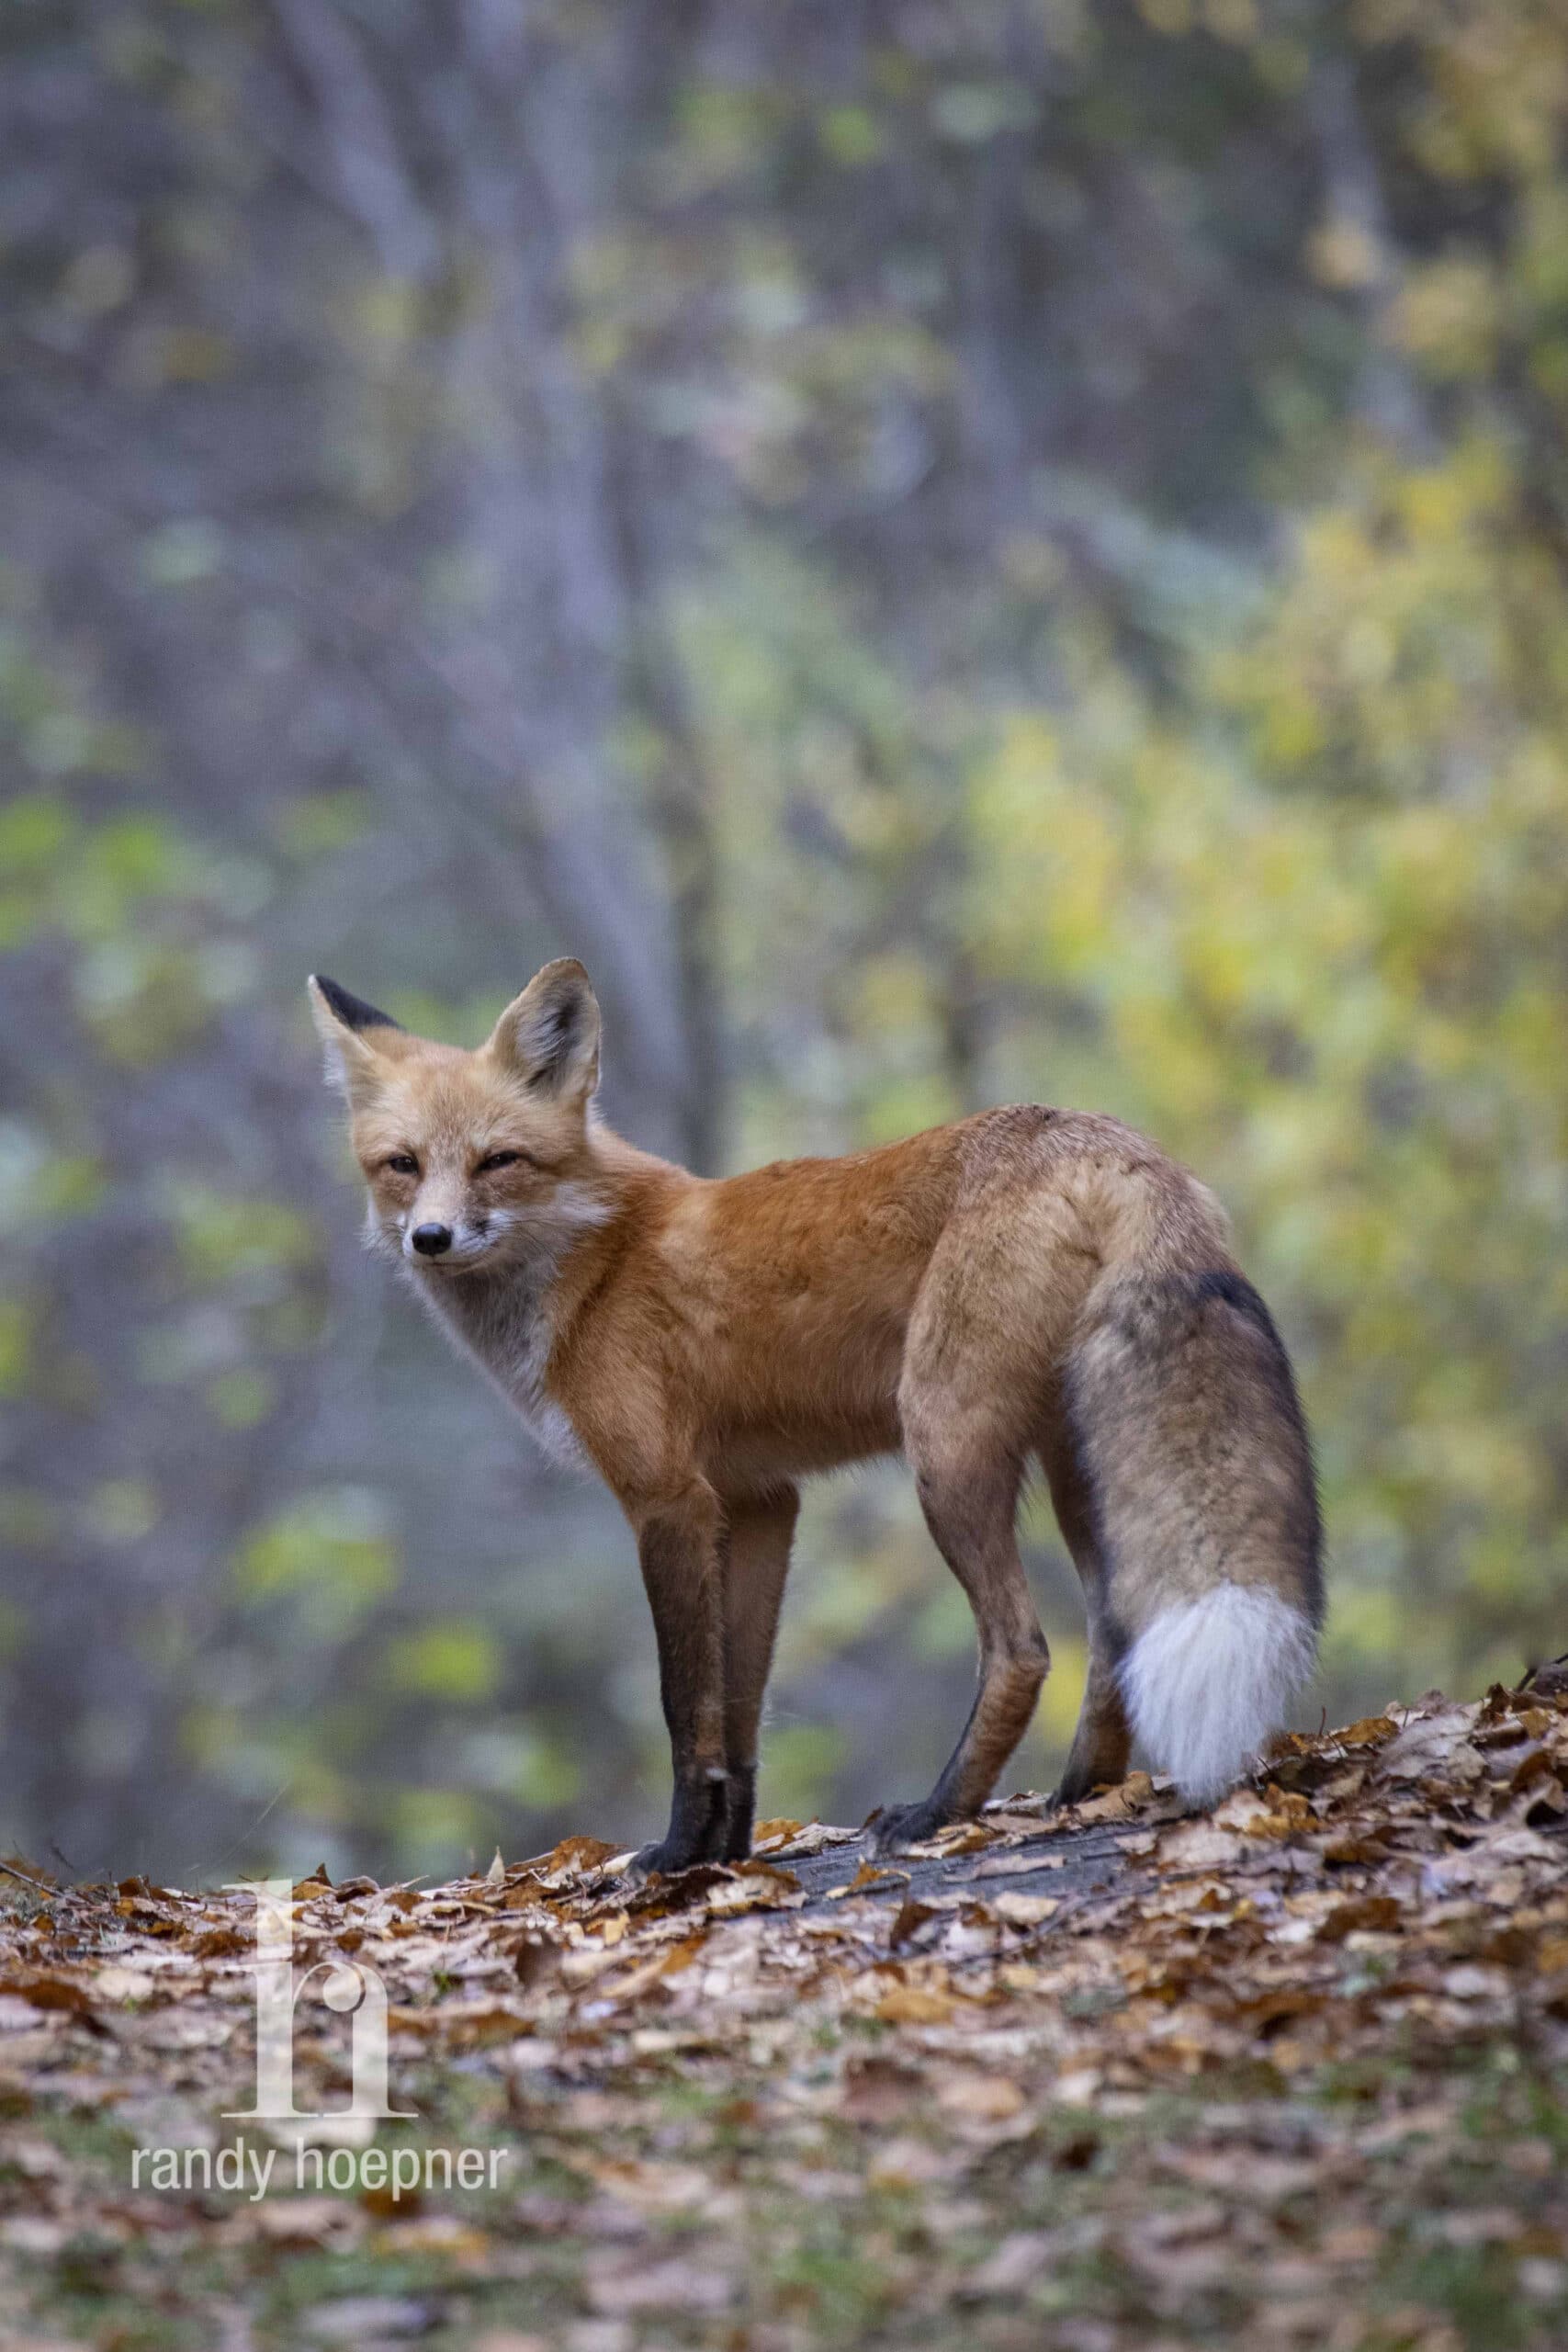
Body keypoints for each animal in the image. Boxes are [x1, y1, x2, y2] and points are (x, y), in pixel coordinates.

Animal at [310, 955, 1325, 1871]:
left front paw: (673, 1858)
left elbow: (685, 1702)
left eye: (498, 1161)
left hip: (945, 1450)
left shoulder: (668, 1499)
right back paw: (1081, 1795)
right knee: (1113, 1632)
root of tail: (1105, 1139)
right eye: (402, 1166)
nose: (431, 1237)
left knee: (1023, 1650)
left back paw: (937, 1811)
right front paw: (723, 1853)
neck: (593, 1263)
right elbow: (739, 1708)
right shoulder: (760, 1500)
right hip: (1079, 1463)